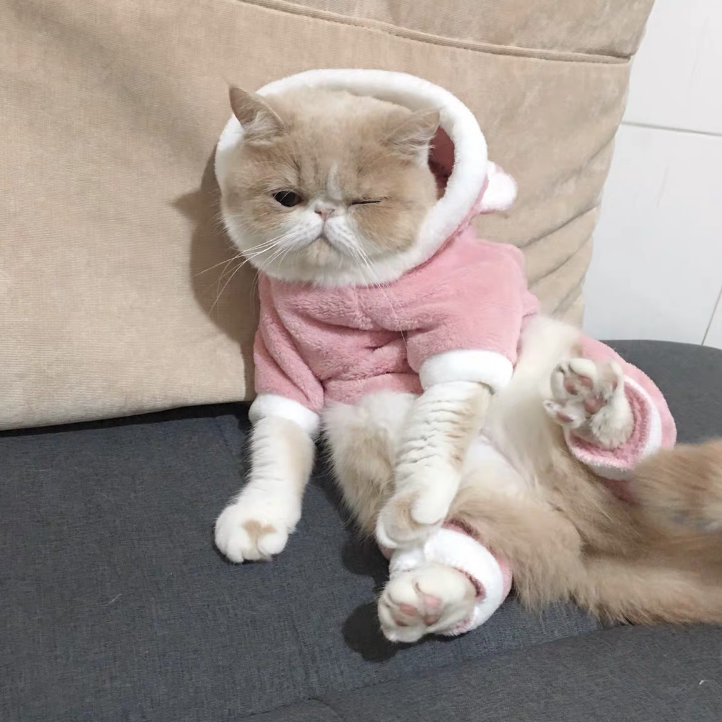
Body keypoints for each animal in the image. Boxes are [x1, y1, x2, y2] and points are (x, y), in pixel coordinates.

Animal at [213, 84, 722, 643]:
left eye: (365, 201)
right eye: (287, 198)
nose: (324, 212)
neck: (341, 287)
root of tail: (587, 531)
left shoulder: (468, 326)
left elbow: (439, 424)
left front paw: (417, 495)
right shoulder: (283, 359)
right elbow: (278, 445)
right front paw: (258, 519)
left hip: (575, 376)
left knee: (626, 438)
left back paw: (595, 409)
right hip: (469, 523)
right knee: (482, 569)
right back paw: (424, 604)